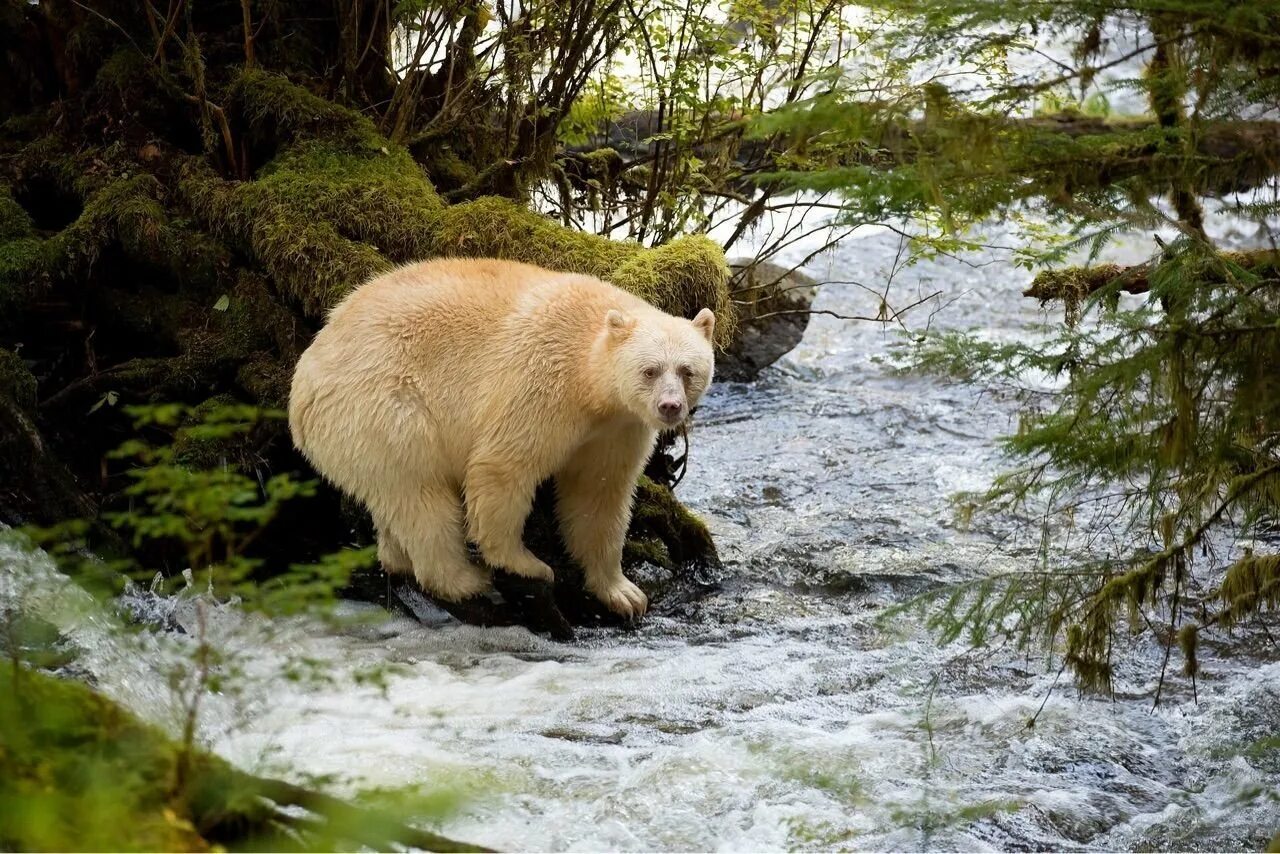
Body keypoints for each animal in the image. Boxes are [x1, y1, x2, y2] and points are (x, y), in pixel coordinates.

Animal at [288, 257, 716, 620]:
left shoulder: (618, 427)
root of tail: (302, 387)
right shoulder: (543, 381)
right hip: (386, 407)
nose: (670, 406)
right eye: (649, 370)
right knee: (421, 496)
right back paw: (464, 579)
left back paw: (398, 559)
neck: (591, 384)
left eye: (687, 370)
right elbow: (504, 466)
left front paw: (623, 592)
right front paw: (527, 564)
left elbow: (599, 494)